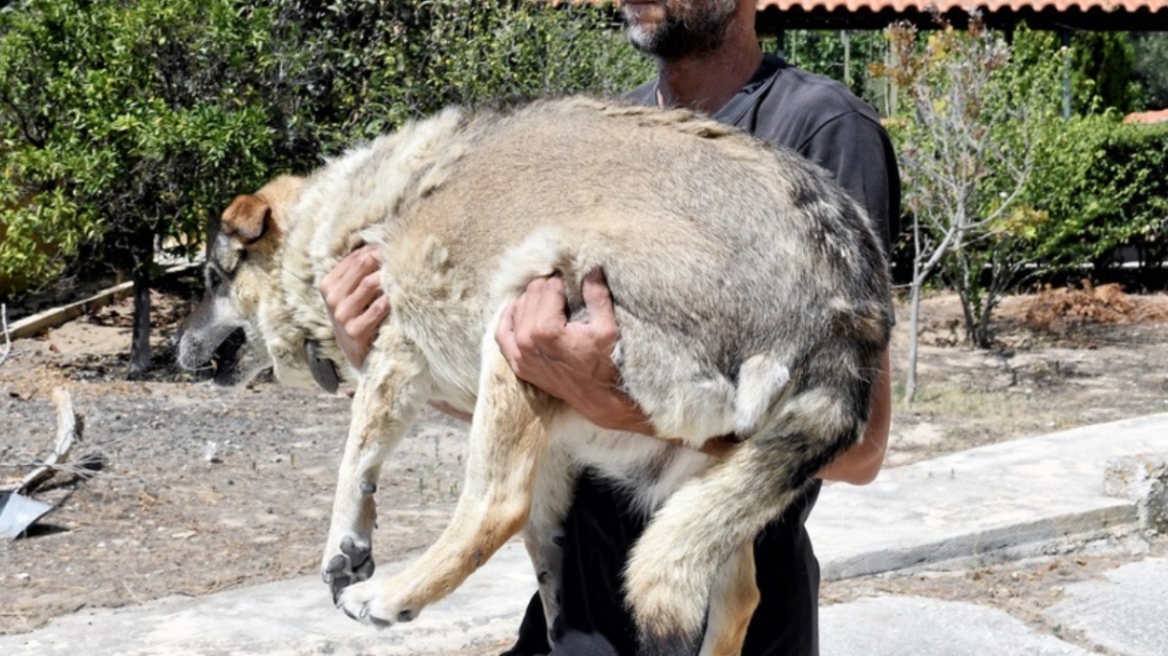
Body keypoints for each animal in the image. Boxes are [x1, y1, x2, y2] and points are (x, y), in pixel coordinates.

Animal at [172, 96, 887, 653]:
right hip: (703, 484)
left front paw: (343, 551)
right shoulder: (557, 445)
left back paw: (389, 597)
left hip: (519, 309)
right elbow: (545, 549)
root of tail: (845, 304)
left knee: (495, 502)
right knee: (736, 597)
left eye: (209, 277)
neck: (334, 224)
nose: (174, 346)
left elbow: (355, 465)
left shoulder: (394, 357)